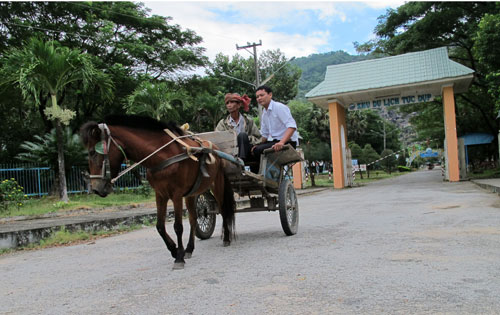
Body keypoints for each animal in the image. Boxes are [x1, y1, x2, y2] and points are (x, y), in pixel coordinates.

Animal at [80, 115, 236, 270]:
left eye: (92, 152)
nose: (96, 188)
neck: (162, 155)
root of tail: (216, 149)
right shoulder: (160, 195)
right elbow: (160, 226)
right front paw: (174, 250)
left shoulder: (176, 195)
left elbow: (178, 226)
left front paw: (178, 258)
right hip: (192, 193)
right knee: (193, 218)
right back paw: (189, 249)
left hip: (217, 184)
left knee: (223, 210)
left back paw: (226, 238)